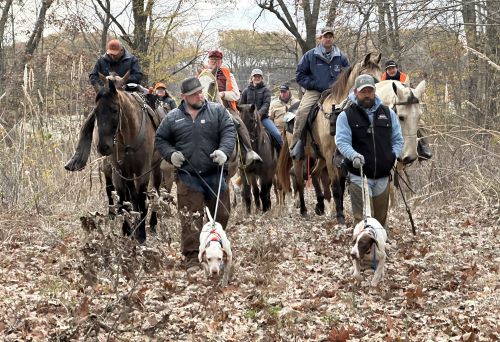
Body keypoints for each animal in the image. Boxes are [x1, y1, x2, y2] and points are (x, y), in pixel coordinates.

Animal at [94, 73, 163, 243]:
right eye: (96, 111)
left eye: (114, 110)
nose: (103, 147)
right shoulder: (119, 171)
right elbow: (122, 198)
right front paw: (127, 230)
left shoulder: (143, 171)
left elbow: (141, 197)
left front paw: (141, 234)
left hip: (156, 169)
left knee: (155, 192)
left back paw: (152, 223)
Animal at [276, 52, 380, 220]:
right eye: (369, 77)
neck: (336, 113)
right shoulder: (331, 155)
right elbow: (336, 186)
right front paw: (340, 217)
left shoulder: (342, 156)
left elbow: (341, 186)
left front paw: (339, 211)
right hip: (300, 158)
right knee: (299, 180)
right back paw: (304, 210)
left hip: (320, 157)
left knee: (314, 173)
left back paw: (319, 206)